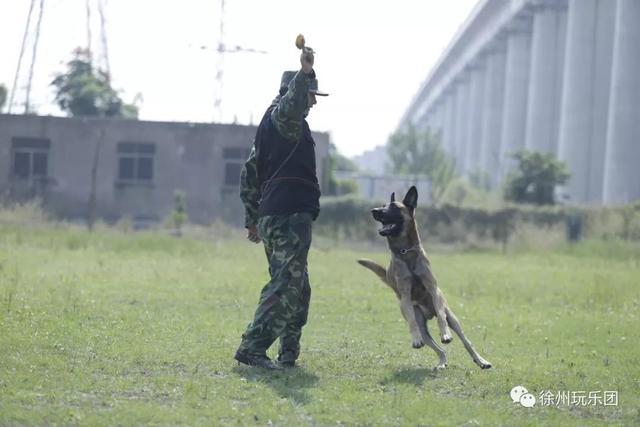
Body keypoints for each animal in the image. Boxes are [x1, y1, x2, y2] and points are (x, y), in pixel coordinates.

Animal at [360, 187, 490, 372]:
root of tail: (429, 313)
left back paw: (481, 360)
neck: (405, 252)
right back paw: (441, 361)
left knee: (465, 341)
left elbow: (441, 318)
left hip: (453, 318)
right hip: (422, 325)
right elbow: (412, 323)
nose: (374, 211)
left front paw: (445, 334)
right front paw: (415, 340)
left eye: (394, 207)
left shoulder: (433, 289)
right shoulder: (405, 296)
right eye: (383, 205)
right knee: (438, 348)